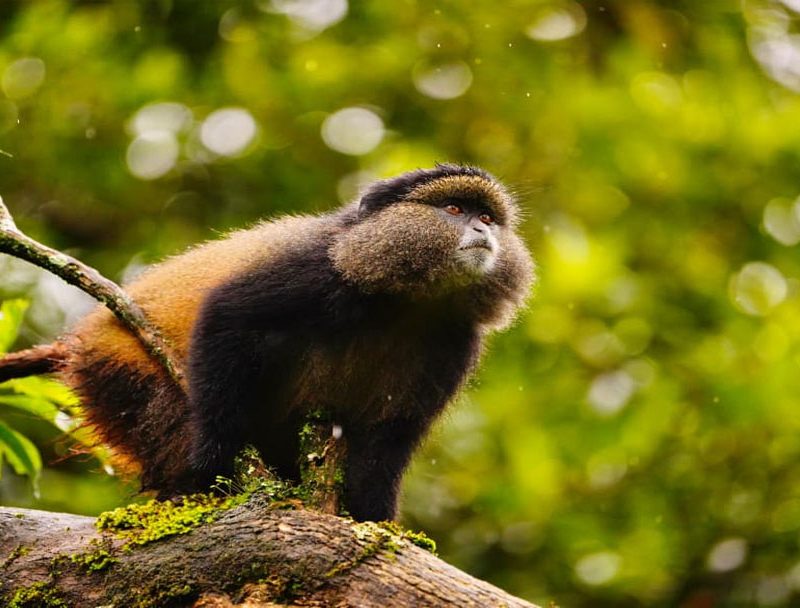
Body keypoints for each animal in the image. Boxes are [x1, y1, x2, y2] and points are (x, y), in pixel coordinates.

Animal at [0, 164, 534, 522]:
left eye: (488, 216)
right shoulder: (322, 270)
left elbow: (392, 434)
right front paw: (214, 456)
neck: (407, 301)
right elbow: (228, 317)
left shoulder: (454, 342)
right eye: (454, 209)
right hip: (120, 377)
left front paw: (372, 519)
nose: (482, 228)